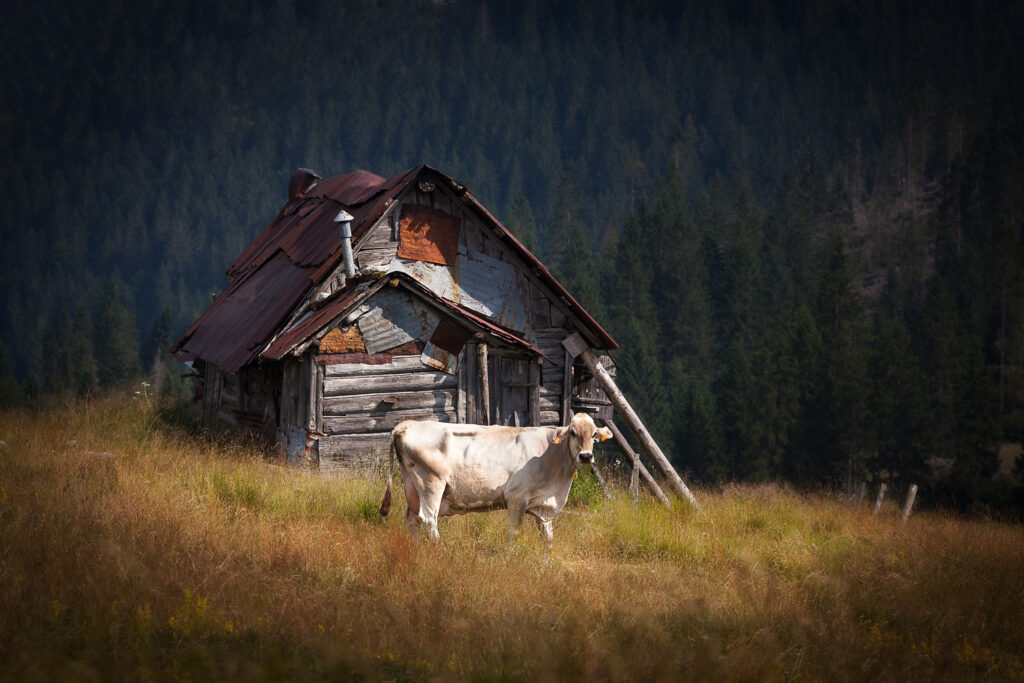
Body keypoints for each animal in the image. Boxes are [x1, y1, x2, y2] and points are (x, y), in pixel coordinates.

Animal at [380, 411, 610, 544]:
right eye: (572, 432)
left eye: (594, 435)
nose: (586, 456)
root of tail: (405, 425)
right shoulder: (516, 497)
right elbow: (514, 533)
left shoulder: (544, 505)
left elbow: (547, 537)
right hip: (431, 483)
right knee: (428, 519)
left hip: (412, 487)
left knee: (411, 519)